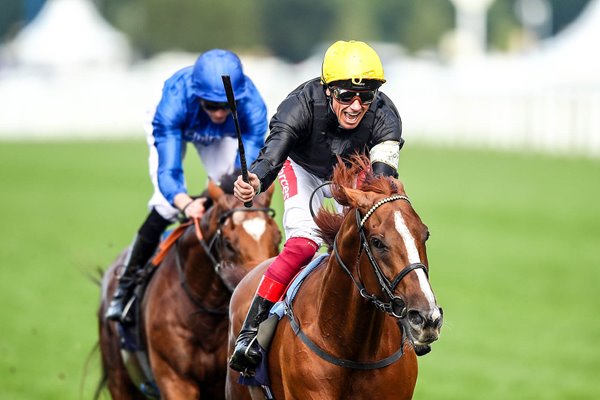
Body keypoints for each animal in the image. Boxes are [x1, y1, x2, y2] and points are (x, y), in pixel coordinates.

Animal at [99, 182, 282, 400]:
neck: (204, 321)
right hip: (120, 380)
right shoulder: (174, 379)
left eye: (277, 238)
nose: (253, 284)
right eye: (228, 243)